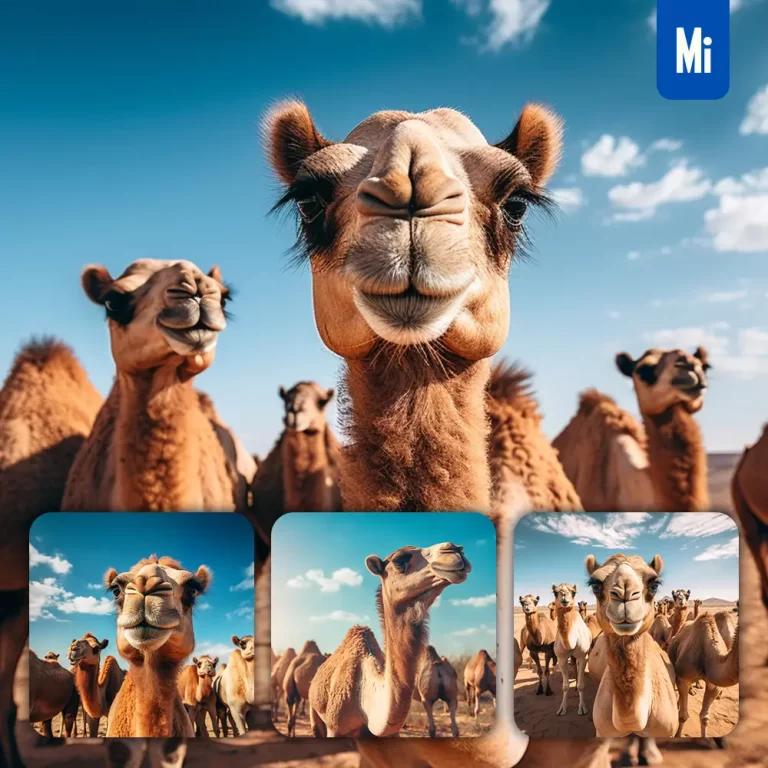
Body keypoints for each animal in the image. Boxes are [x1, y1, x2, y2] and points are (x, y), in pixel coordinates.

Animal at [552, 584, 591, 717]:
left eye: (574, 592)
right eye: (555, 592)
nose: (564, 595)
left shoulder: (583, 656)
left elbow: (582, 685)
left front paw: (582, 708)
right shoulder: (561, 658)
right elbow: (564, 686)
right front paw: (562, 708)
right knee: (573, 665)